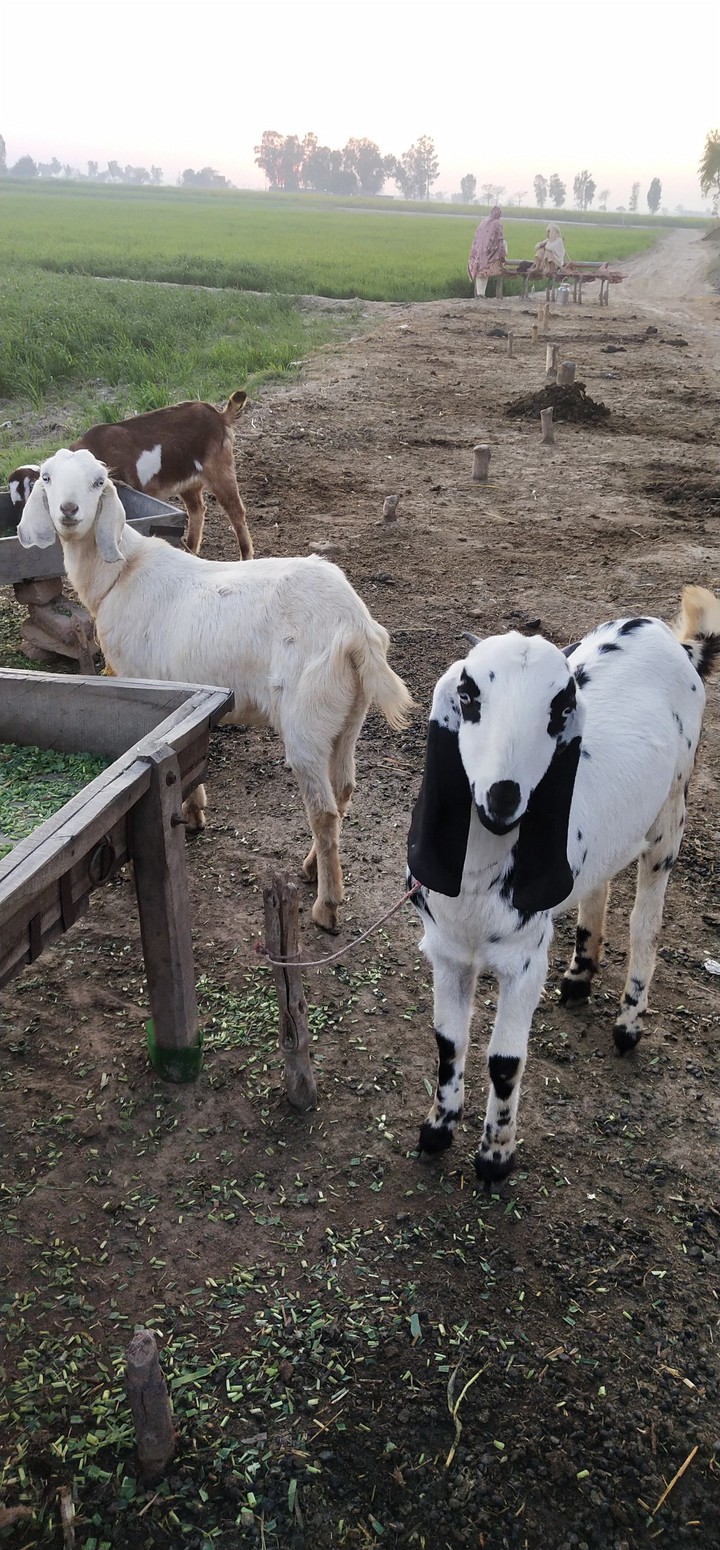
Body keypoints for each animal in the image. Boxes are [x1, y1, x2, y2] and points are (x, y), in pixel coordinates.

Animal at [19, 448, 413, 932]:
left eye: (97, 482)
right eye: (48, 478)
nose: (69, 511)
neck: (120, 575)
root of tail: (356, 628)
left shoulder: (144, 677)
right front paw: (192, 811)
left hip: (305, 717)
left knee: (321, 810)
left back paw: (327, 905)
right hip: (347, 716)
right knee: (342, 792)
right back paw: (311, 867)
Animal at [406, 592, 720, 1182]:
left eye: (559, 710)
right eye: (468, 694)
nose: (503, 797)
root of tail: (669, 637)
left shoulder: (526, 959)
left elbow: (504, 1063)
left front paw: (496, 1157)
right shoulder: (447, 951)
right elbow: (447, 1042)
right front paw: (437, 1130)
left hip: (672, 809)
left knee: (647, 921)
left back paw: (628, 1024)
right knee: (599, 880)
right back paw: (579, 976)